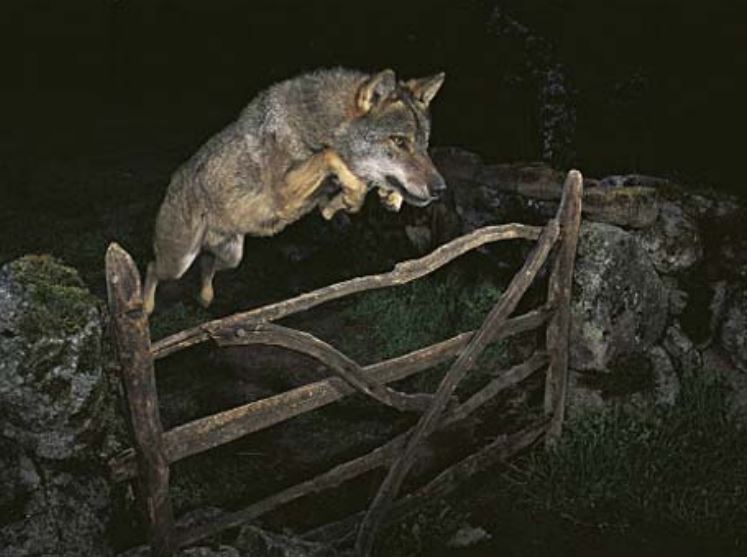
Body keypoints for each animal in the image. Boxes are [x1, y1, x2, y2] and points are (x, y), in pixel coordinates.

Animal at [142, 67, 447, 314]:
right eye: (399, 141)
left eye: (424, 144)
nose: (440, 188)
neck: (319, 125)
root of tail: (174, 182)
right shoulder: (285, 194)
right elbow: (330, 156)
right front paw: (355, 194)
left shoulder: (319, 197)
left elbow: (346, 190)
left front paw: (386, 196)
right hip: (178, 263)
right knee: (152, 266)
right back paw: (144, 308)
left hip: (232, 257)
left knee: (206, 265)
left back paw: (205, 298)